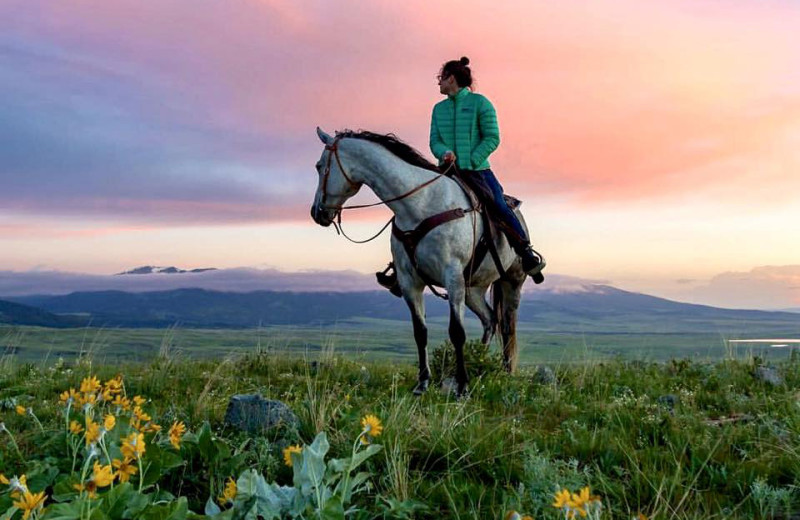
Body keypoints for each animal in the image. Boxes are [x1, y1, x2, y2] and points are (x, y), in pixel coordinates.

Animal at [312, 129, 532, 394]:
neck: (420, 205)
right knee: (490, 319)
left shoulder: (452, 277)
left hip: (511, 281)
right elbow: (420, 332)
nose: (317, 212)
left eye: (319, 166)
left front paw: (462, 386)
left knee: (507, 326)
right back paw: (478, 363)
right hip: (472, 289)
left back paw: (504, 372)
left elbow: (457, 332)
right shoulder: (410, 282)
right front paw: (423, 382)